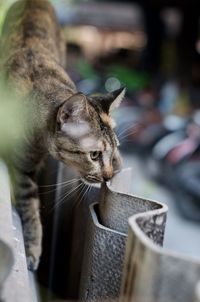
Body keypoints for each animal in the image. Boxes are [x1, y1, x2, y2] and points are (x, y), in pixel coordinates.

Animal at [0, 0, 125, 270]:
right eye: (94, 155)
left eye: (113, 149)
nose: (109, 175)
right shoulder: (23, 169)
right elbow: (30, 209)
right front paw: (33, 249)